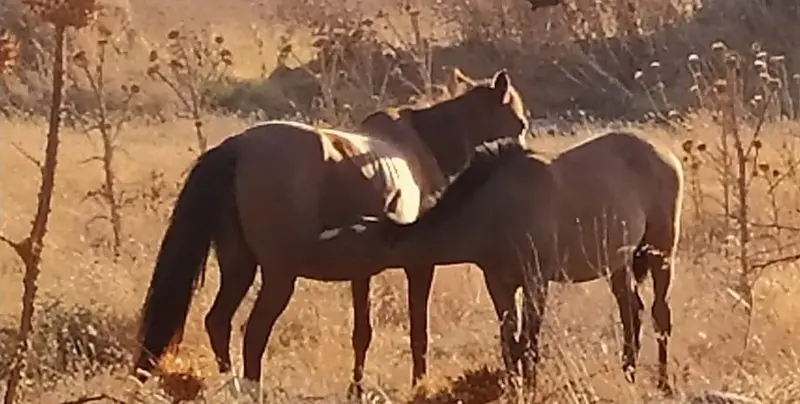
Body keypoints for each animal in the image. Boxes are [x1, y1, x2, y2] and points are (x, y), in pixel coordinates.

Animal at [131, 68, 532, 396]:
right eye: (520, 124)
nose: (525, 164)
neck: (422, 149)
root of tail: (238, 148)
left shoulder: (361, 270)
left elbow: (362, 333)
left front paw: (357, 388)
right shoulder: (419, 266)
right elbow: (418, 331)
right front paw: (419, 385)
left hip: (239, 266)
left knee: (218, 322)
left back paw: (231, 387)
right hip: (278, 276)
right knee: (254, 333)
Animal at [322, 133, 684, 394]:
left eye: (353, 245)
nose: (321, 249)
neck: (494, 209)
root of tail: (665, 154)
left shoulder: (536, 281)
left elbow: (529, 341)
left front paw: (530, 388)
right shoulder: (499, 283)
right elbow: (510, 342)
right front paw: (513, 387)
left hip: (661, 252)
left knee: (660, 314)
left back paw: (663, 381)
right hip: (618, 264)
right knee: (631, 311)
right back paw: (629, 373)